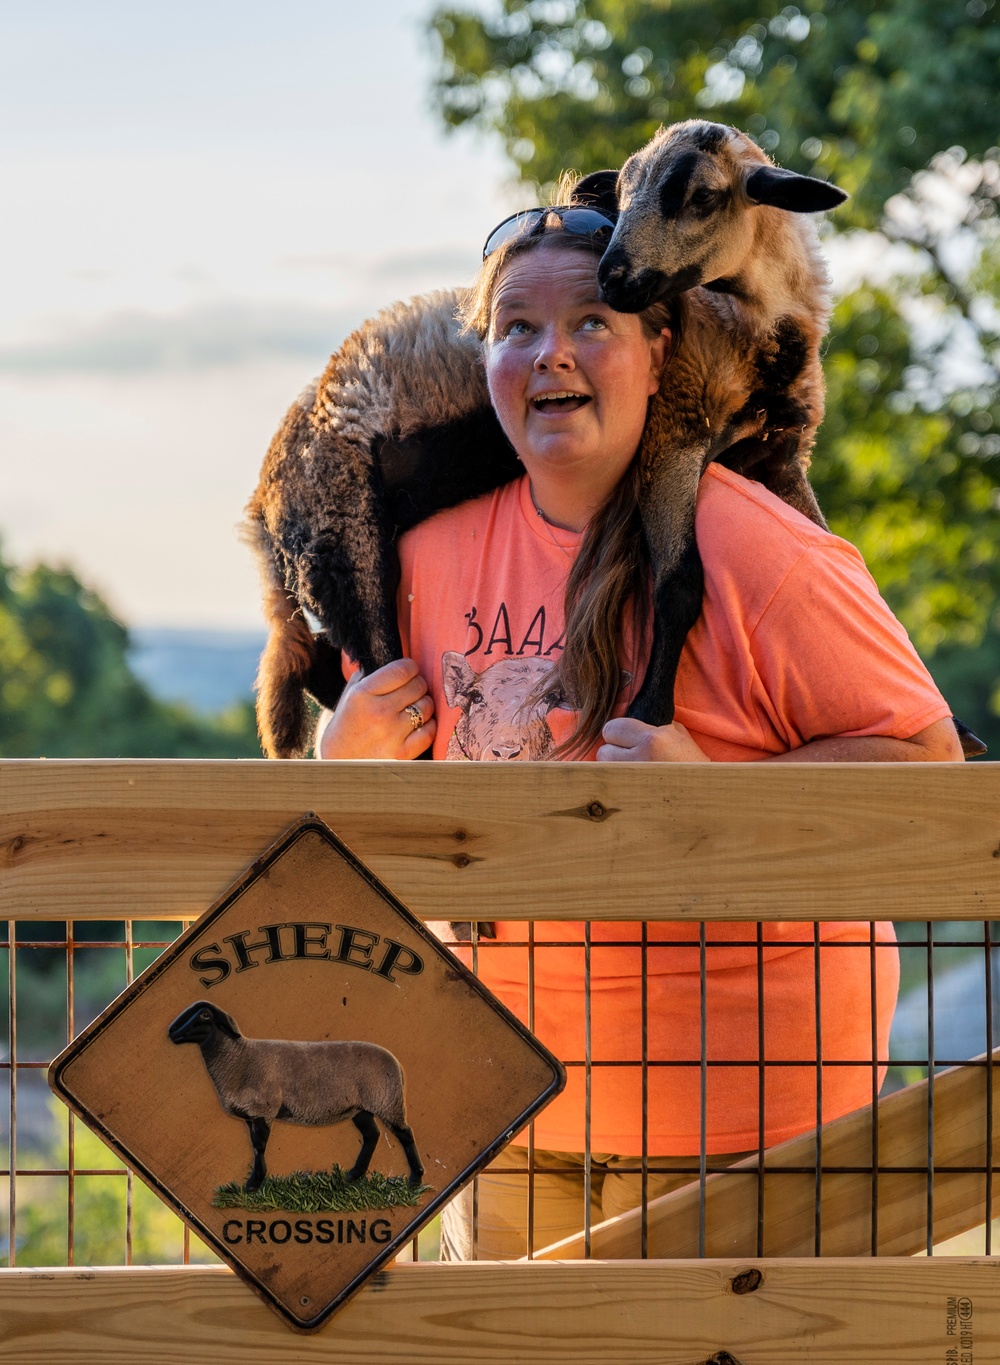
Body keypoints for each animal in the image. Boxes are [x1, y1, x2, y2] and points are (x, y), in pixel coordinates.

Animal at [167, 1004, 420, 1195]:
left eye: (205, 1015)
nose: (172, 1033)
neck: (239, 1058)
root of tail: (397, 1065)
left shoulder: (263, 1109)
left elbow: (259, 1146)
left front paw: (254, 1184)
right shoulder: (251, 1114)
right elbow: (254, 1146)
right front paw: (255, 1181)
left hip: (387, 1102)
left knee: (405, 1134)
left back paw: (415, 1179)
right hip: (360, 1108)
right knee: (371, 1135)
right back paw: (353, 1176)